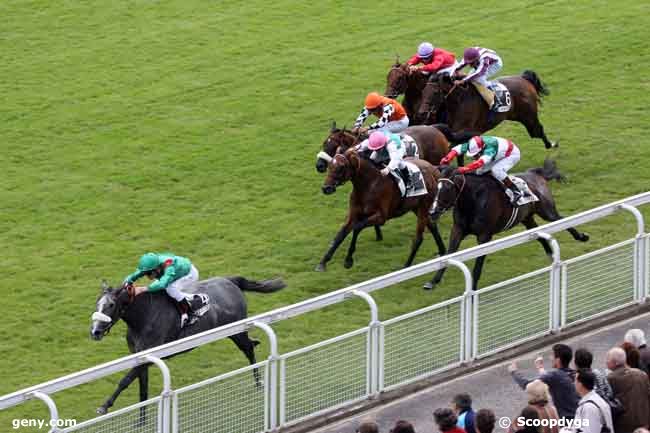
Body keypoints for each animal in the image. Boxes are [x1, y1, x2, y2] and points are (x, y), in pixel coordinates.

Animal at [89, 276, 284, 414]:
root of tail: (230, 281)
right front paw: (141, 420)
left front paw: (104, 406)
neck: (144, 316)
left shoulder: (150, 356)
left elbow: (124, 381)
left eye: (111, 305)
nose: (95, 332)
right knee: (251, 345)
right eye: (97, 303)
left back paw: (259, 382)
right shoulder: (139, 357)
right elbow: (142, 389)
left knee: (249, 348)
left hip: (236, 331)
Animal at [314, 148, 446, 270]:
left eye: (341, 167)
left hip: (423, 207)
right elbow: (341, 234)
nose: (326, 188)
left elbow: (357, 228)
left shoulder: (381, 217)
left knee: (418, 238)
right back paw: (443, 251)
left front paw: (348, 260)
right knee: (432, 226)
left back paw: (406, 266)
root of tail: (434, 169)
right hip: (416, 208)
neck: (369, 185)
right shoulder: (353, 215)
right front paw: (323, 262)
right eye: (330, 165)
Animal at [420, 71, 556, 149]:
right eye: (423, 91)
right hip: (517, 115)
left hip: (528, 116)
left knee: (537, 131)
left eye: (435, 92)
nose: (422, 112)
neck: (460, 101)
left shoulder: (465, 133)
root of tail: (523, 78)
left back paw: (551, 144)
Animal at [426, 157, 588, 288]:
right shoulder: (458, 229)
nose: (432, 212)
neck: (473, 200)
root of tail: (535, 173)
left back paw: (581, 237)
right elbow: (448, 255)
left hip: (547, 211)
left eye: (447, 187)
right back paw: (551, 255)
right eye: (436, 187)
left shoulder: (484, 236)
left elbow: (477, 267)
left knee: (561, 220)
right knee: (539, 235)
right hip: (527, 218)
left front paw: (472, 289)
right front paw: (433, 281)